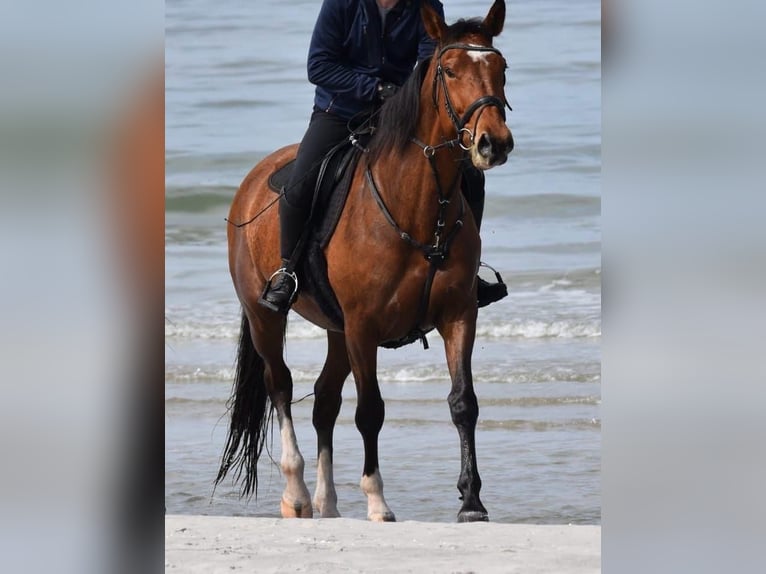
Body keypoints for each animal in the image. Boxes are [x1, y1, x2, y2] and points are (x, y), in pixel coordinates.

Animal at [216, 0, 516, 524]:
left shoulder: (459, 314)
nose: (492, 143)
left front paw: (472, 501)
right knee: (281, 385)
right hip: (266, 317)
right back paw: (297, 493)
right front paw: (378, 500)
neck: (419, 209)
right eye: (449, 70)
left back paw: (328, 502)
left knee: (324, 400)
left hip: (336, 331)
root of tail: (252, 182)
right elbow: (370, 410)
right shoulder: (363, 327)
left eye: (501, 69)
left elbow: (464, 403)